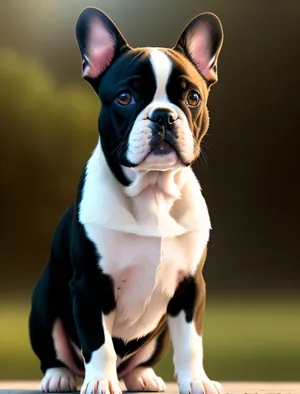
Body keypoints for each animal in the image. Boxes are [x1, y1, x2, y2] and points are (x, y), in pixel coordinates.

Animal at [29, 6, 224, 394]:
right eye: (124, 98)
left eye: (192, 98)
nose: (163, 115)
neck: (153, 192)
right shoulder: (89, 286)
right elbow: (98, 342)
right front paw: (100, 383)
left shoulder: (190, 286)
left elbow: (191, 343)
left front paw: (197, 380)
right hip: (44, 302)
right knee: (56, 352)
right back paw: (60, 376)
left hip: (159, 334)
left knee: (140, 360)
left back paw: (142, 376)